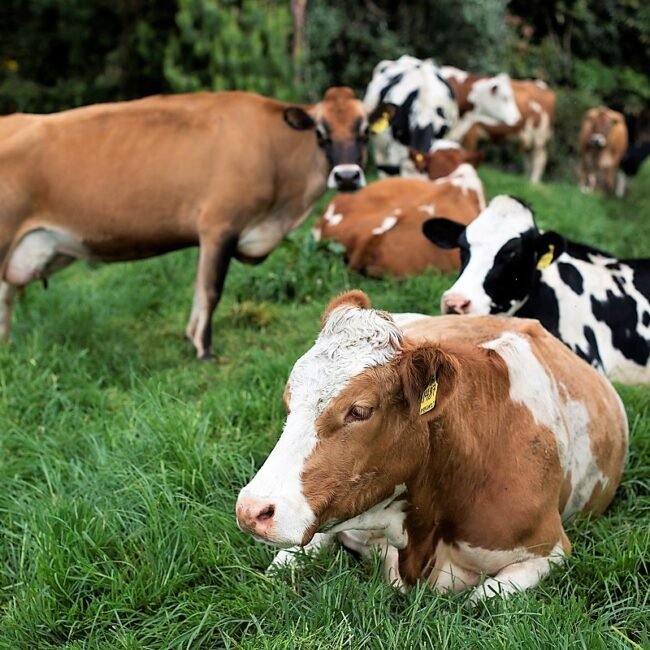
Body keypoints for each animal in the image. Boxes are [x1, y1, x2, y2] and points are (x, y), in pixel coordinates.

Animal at [0, 87, 394, 358]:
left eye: (365, 132)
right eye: (320, 133)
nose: (346, 176)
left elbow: (198, 291)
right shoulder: (219, 226)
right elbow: (209, 291)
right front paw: (203, 349)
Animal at [236, 290, 628, 600]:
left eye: (360, 410)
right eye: (289, 399)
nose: (251, 510)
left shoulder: (549, 550)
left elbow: (481, 600)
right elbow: (282, 567)